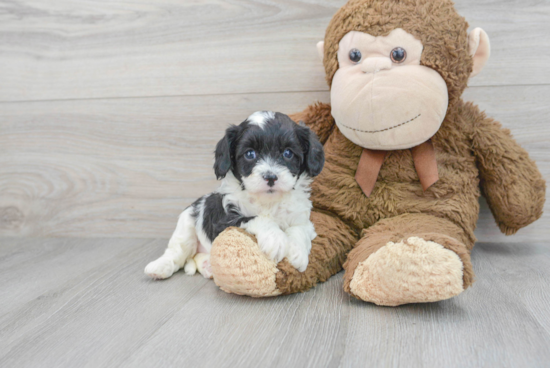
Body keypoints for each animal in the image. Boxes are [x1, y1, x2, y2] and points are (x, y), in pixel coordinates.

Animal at [144, 110, 326, 278]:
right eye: (250, 154)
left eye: (288, 153)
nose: (270, 177)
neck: (268, 201)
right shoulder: (224, 220)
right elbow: (256, 218)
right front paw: (276, 239)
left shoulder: (303, 219)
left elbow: (300, 229)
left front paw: (297, 252)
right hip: (186, 224)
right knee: (177, 252)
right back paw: (159, 268)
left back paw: (207, 266)